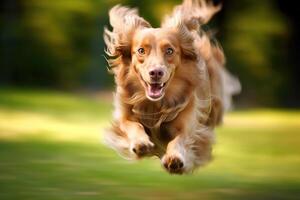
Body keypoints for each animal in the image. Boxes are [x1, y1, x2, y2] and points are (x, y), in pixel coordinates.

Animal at [104, 0, 240, 174]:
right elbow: (132, 125)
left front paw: (174, 159)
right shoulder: (124, 116)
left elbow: (180, 139)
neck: (155, 106)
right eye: (141, 50)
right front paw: (141, 143)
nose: (156, 72)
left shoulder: (188, 125)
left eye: (169, 50)